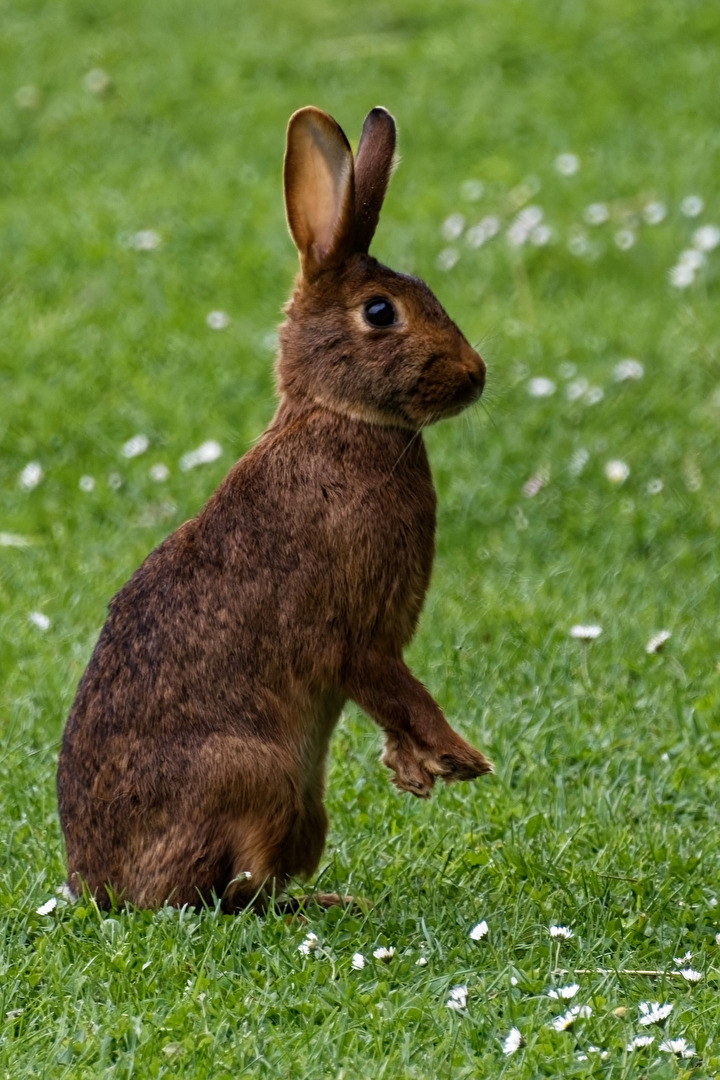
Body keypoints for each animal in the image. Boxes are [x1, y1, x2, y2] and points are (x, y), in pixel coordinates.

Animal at [57, 105, 491, 913]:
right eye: (380, 312)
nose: (475, 377)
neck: (336, 415)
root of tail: (100, 889)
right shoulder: (359, 635)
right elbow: (397, 688)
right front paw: (458, 760)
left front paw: (412, 771)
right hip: (264, 781)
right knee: (234, 895)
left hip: (302, 804)